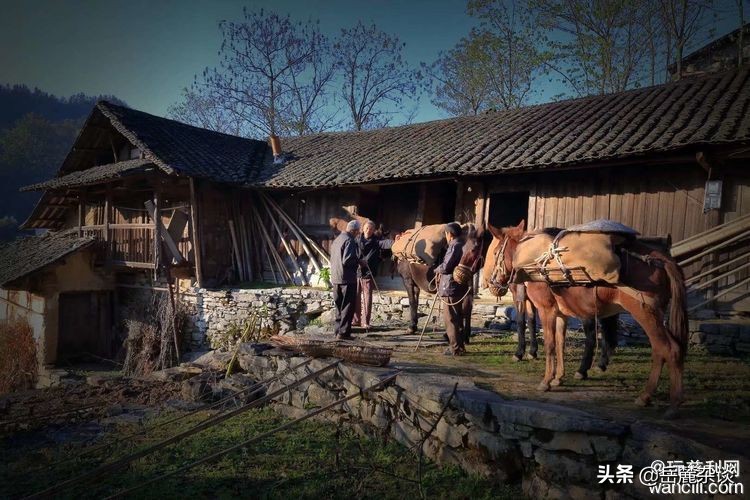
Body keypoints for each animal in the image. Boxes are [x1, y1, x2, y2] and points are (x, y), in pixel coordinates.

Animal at [483, 220, 688, 417]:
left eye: (494, 252)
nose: (490, 283)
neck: (531, 258)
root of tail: (661, 259)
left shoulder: (546, 310)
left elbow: (549, 344)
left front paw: (546, 380)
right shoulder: (561, 313)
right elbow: (560, 343)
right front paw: (558, 378)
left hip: (644, 313)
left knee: (668, 349)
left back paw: (669, 403)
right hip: (655, 314)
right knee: (660, 350)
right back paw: (645, 396)